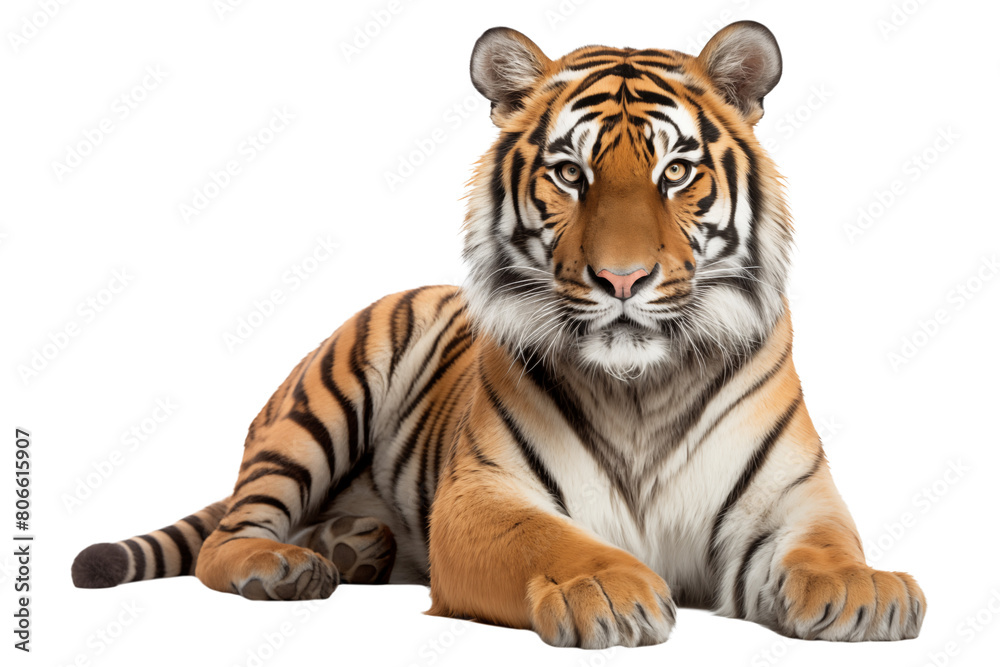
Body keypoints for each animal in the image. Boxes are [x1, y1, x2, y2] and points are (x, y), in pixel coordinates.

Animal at [72, 21, 925, 648]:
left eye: (675, 173)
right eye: (571, 174)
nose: (621, 279)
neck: (641, 388)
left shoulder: (792, 497)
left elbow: (827, 544)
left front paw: (865, 589)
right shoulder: (482, 495)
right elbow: (549, 539)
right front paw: (604, 586)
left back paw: (352, 545)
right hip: (321, 402)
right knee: (226, 537)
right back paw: (283, 565)